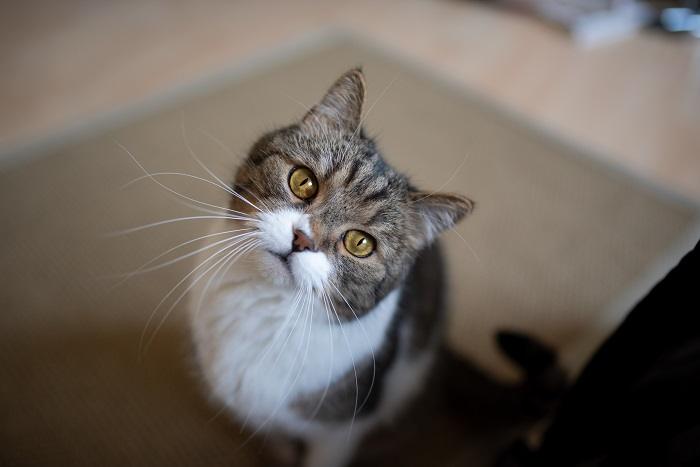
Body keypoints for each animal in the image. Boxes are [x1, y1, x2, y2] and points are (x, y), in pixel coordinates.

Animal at [189, 68, 474, 467]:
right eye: (303, 181)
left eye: (360, 243)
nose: (301, 239)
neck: (264, 305)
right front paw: (279, 450)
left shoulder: (338, 431)